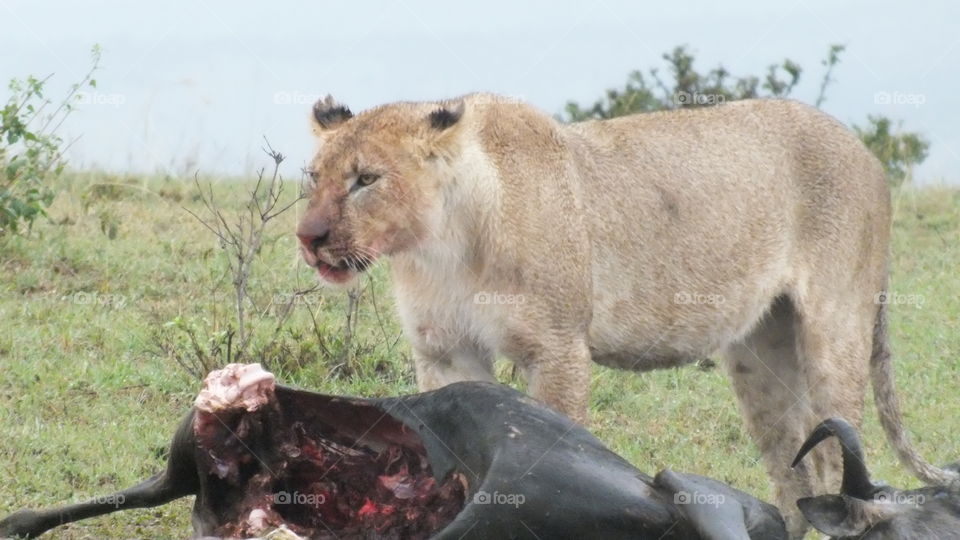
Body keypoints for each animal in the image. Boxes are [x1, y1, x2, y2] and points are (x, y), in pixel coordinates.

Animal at [296, 93, 956, 537]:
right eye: (315, 176)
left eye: (366, 179)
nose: (308, 237)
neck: (439, 243)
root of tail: (863, 149)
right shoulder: (444, 350)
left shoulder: (557, 347)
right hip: (761, 350)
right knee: (796, 466)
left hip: (834, 325)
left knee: (838, 454)